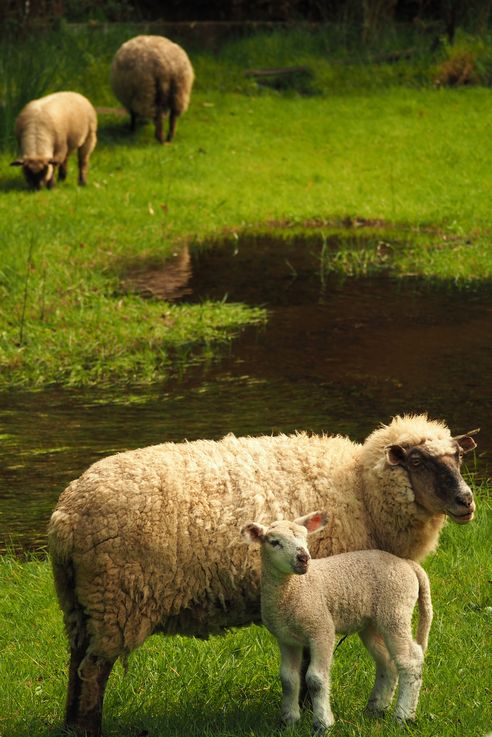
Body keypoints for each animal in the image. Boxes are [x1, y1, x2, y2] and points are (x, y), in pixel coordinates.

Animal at [241, 512, 430, 732]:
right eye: (274, 542)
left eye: (306, 539)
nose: (304, 558)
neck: (293, 590)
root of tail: (408, 564)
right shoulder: (286, 638)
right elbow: (288, 679)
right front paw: (289, 721)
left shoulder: (321, 628)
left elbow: (315, 679)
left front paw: (323, 723)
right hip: (372, 623)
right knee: (387, 662)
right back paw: (376, 709)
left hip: (395, 610)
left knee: (410, 660)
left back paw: (403, 717)